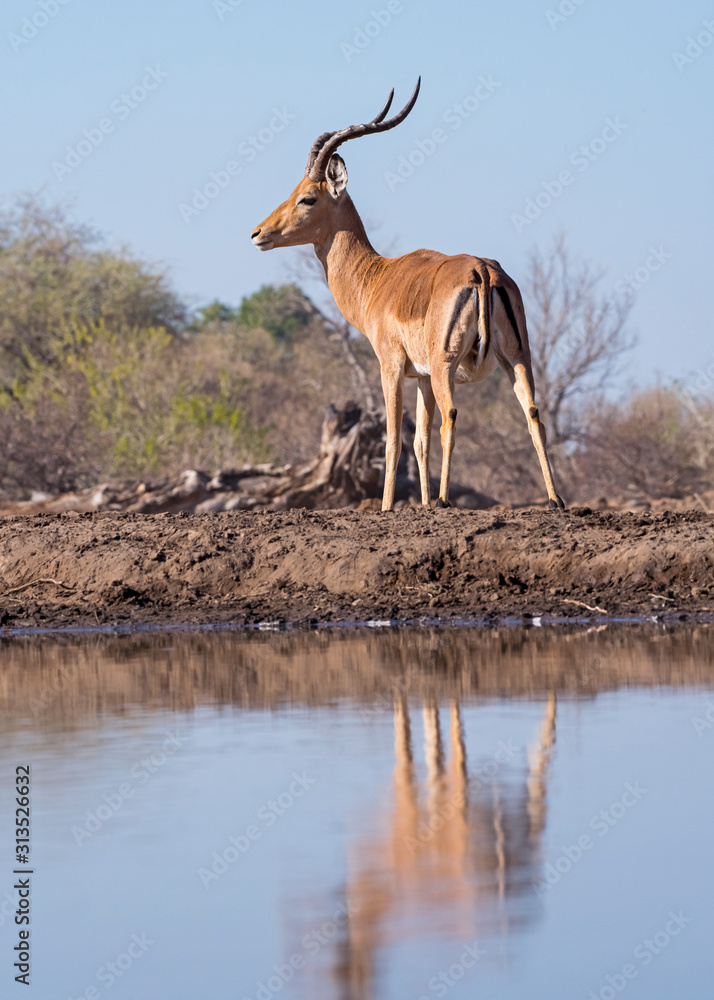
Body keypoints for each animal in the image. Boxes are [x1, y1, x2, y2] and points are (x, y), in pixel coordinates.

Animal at [251, 79, 565, 512]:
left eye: (308, 198)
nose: (258, 234)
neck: (376, 280)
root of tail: (483, 272)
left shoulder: (392, 367)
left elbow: (394, 444)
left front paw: (391, 507)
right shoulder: (422, 376)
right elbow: (419, 443)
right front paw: (424, 504)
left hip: (449, 364)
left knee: (452, 415)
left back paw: (448, 500)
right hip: (516, 358)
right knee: (533, 412)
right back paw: (555, 499)